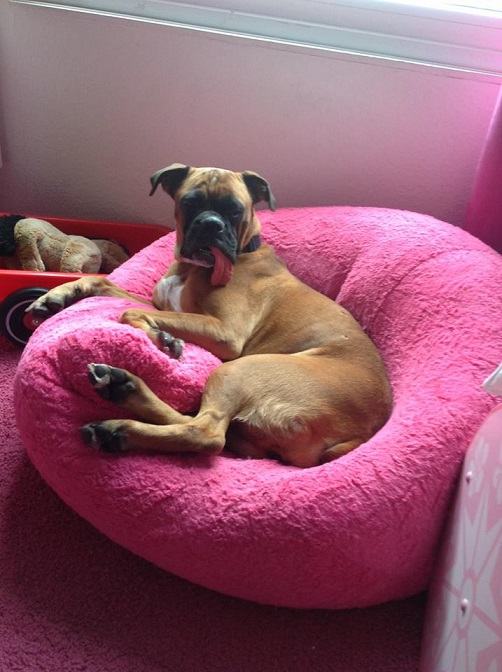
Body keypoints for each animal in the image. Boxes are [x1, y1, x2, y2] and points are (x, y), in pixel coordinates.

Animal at [28, 164, 392, 468]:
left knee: (207, 433)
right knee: (206, 427)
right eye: (190, 203)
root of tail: (361, 432)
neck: (193, 269)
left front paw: (162, 339)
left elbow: (131, 312)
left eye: (235, 209)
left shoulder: (225, 334)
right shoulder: (164, 305)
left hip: (239, 370)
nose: (210, 224)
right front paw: (55, 296)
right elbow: (104, 284)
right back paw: (123, 388)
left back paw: (120, 424)